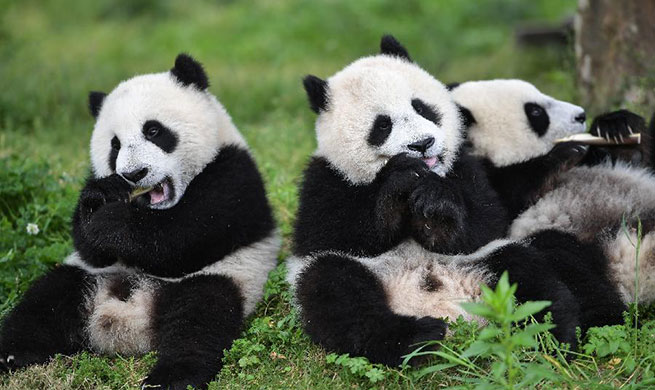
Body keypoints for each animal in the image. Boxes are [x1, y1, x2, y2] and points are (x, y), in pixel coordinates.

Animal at [0, 53, 280, 388]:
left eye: (153, 131)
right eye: (115, 145)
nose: (134, 174)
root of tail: (129, 319)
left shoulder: (234, 177)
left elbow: (181, 239)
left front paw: (109, 222)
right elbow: (90, 247)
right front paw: (99, 200)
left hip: (225, 277)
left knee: (200, 320)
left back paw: (170, 377)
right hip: (83, 277)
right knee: (45, 301)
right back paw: (10, 354)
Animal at [288, 35, 624, 368]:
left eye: (422, 107)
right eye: (382, 125)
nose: (422, 144)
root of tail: (445, 304)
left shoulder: (466, 167)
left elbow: (484, 222)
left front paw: (436, 209)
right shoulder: (325, 178)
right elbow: (333, 233)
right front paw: (398, 181)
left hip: (487, 263)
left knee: (530, 278)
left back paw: (552, 338)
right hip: (360, 274)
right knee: (337, 292)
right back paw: (416, 337)